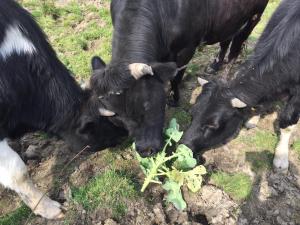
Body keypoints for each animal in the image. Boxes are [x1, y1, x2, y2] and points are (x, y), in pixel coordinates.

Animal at [91, 0, 268, 156]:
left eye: (147, 105)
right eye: (117, 116)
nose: (146, 150)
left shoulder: (186, 50)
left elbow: (176, 76)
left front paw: (174, 99)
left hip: (254, 17)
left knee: (235, 49)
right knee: (226, 40)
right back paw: (215, 66)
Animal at [182, 0, 300, 173]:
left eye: (213, 125)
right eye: (192, 114)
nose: (183, 146)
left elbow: (287, 124)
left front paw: (281, 157)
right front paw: (253, 118)